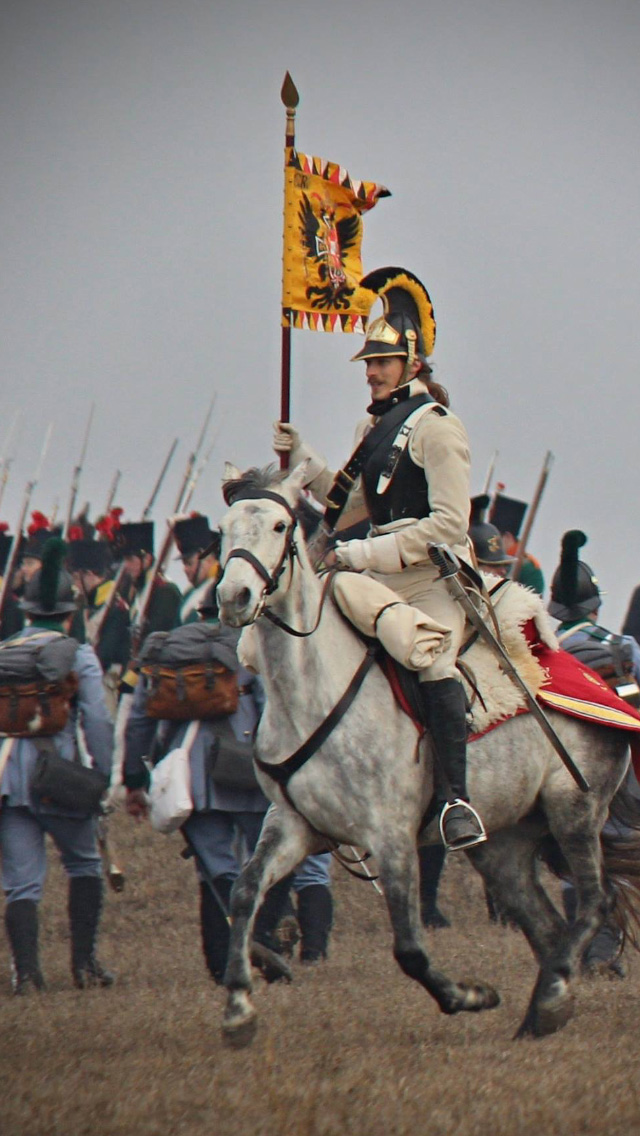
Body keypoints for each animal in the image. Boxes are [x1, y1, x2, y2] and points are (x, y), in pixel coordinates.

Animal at [217, 461, 640, 1045]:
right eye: (224, 528)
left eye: (280, 527)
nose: (233, 596)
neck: (311, 691)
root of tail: (600, 684)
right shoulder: (293, 825)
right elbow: (243, 891)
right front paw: (238, 1006)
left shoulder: (390, 837)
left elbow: (410, 948)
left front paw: (470, 996)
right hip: (504, 844)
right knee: (546, 923)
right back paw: (543, 1012)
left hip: (573, 810)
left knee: (593, 902)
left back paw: (551, 998)